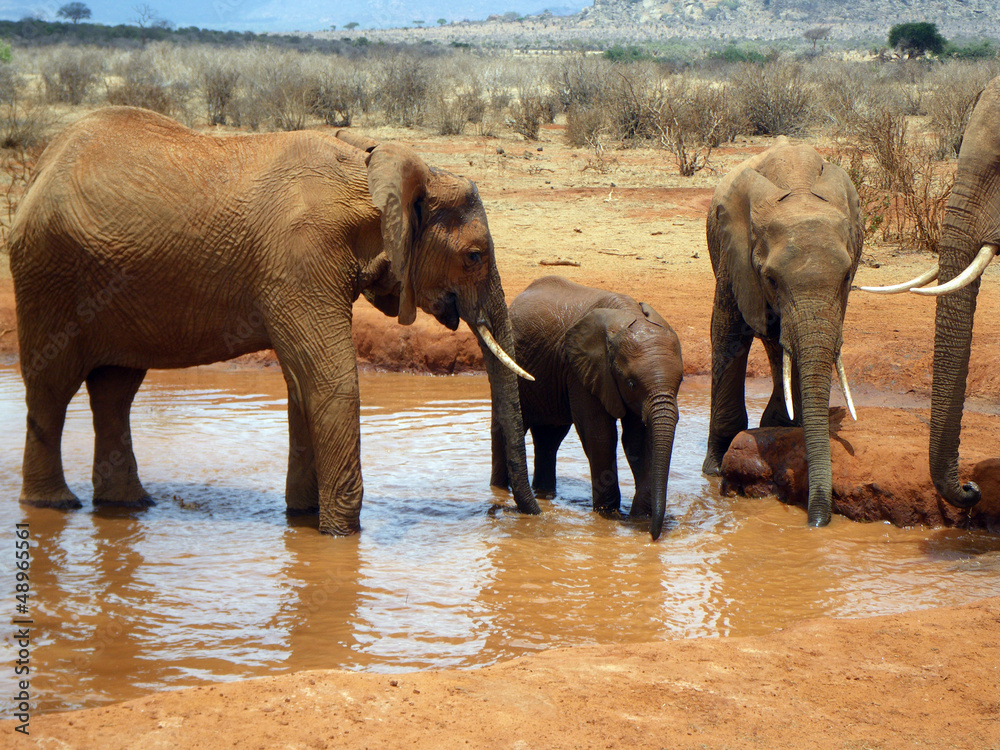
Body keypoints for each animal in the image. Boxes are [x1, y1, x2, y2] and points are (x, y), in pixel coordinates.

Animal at [9, 106, 539, 536]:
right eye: (474, 256)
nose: (526, 514)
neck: (366, 172)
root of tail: (41, 166)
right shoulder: (298, 259)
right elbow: (330, 382)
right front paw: (339, 536)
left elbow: (302, 386)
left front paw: (303, 518)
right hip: (48, 274)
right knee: (51, 387)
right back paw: (54, 505)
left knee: (115, 390)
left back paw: (129, 506)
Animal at [491, 276, 683, 540]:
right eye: (631, 382)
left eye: (681, 380)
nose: (654, 537)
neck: (626, 314)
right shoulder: (582, 370)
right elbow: (600, 435)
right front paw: (609, 514)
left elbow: (638, 440)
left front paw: (639, 516)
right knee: (510, 427)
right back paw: (500, 489)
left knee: (549, 438)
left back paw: (545, 493)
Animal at [701, 139, 863, 527]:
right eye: (772, 279)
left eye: (847, 277)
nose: (816, 522)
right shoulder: (735, 256)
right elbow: (729, 336)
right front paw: (714, 471)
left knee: (780, 345)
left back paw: (783, 424)